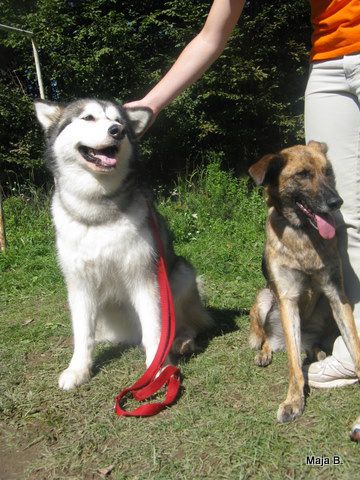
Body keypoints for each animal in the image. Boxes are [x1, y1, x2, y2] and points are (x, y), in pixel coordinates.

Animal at [35, 97, 212, 390]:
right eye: (88, 118)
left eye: (118, 121)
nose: (116, 130)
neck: (98, 210)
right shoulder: (79, 282)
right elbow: (83, 334)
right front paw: (78, 369)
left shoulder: (144, 275)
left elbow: (155, 330)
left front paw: (158, 369)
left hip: (182, 273)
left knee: (187, 322)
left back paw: (182, 340)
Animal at [249, 142, 360, 424]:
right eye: (302, 175)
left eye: (328, 171)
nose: (336, 202)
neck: (305, 234)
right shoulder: (287, 298)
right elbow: (294, 367)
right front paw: (294, 401)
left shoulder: (336, 294)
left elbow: (354, 344)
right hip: (265, 299)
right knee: (270, 338)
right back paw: (265, 352)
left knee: (309, 346)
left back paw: (317, 352)